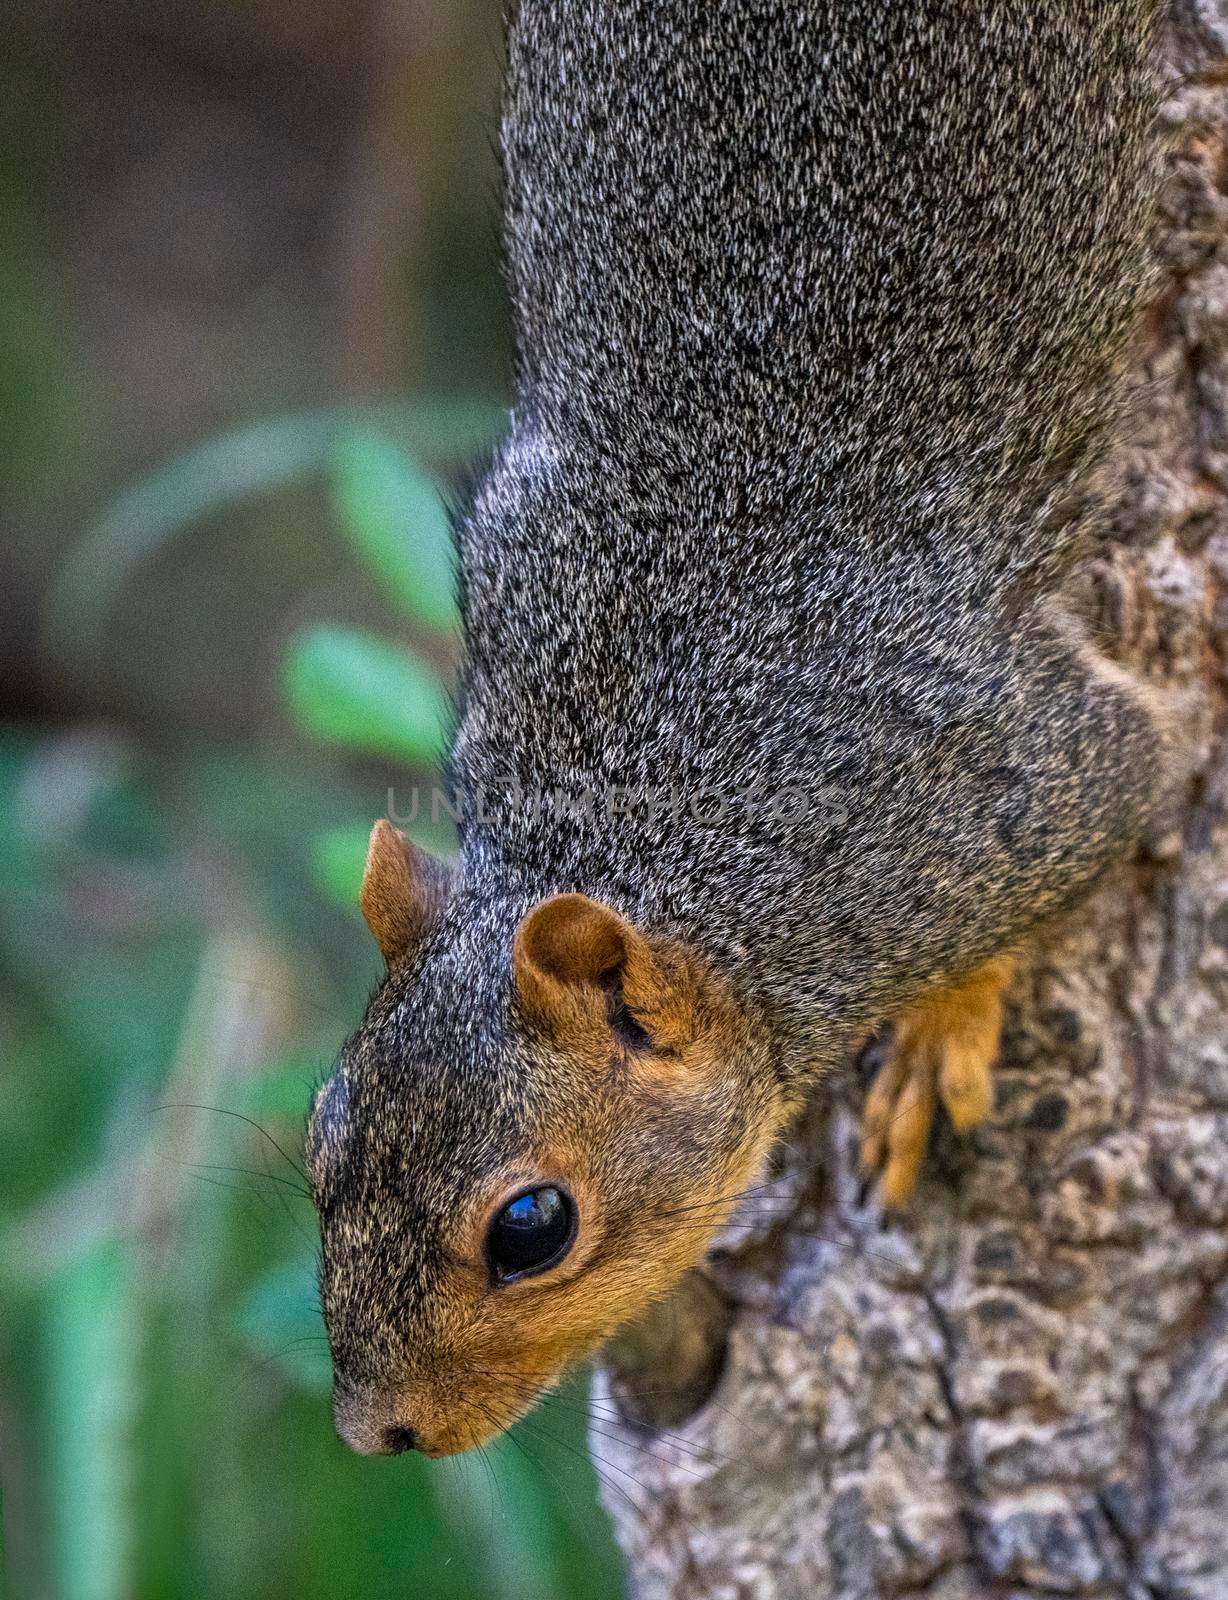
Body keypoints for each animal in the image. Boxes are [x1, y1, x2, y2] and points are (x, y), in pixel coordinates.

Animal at [303, 0, 1170, 1459]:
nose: (374, 1433)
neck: (644, 799)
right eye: (322, 1139)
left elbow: (1133, 786)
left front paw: (938, 1037)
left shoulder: (1015, 792)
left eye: (530, 1229)